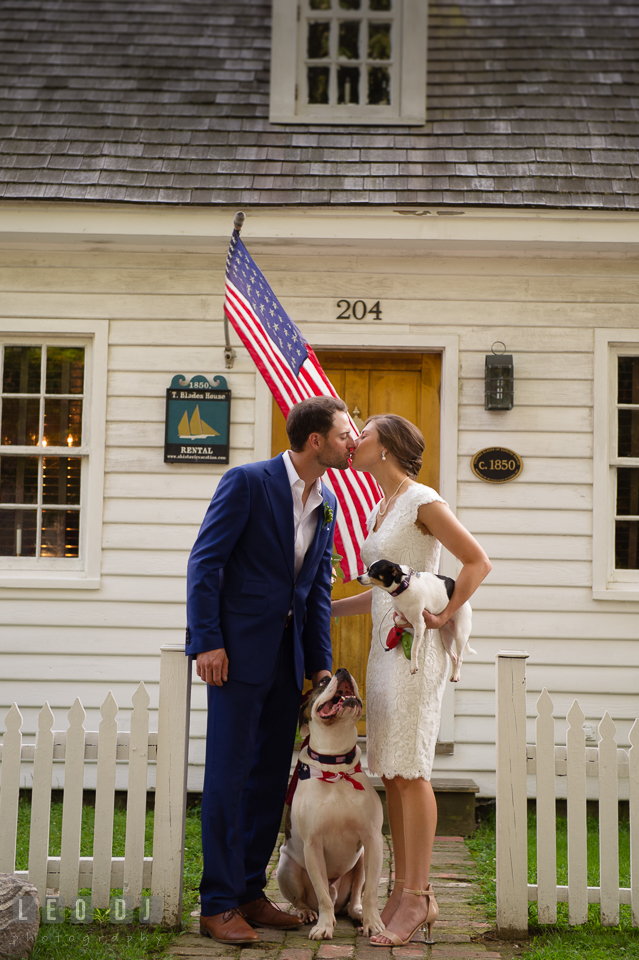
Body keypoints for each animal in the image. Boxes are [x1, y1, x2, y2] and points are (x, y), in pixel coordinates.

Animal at [276, 668, 384, 936]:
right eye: (324, 681)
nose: (343, 670)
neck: (335, 765)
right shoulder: (313, 845)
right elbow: (322, 893)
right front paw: (324, 926)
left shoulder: (373, 839)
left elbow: (371, 892)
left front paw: (373, 922)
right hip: (285, 867)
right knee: (305, 898)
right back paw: (306, 913)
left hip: (361, 859)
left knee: (355, 896)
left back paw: (357, 913)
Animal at [360, 556, 476, 684]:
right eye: (367, 569)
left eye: (373, 572)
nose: (358, 578)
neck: (405, 586)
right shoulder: (401, 615)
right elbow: (398, 619)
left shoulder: (420, 625)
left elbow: (414, 648)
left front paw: (413, 666)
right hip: (446, 638)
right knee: (454, 657)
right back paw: (454, 674)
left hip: (460, 635)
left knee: (460, 658)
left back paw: (456, 675)